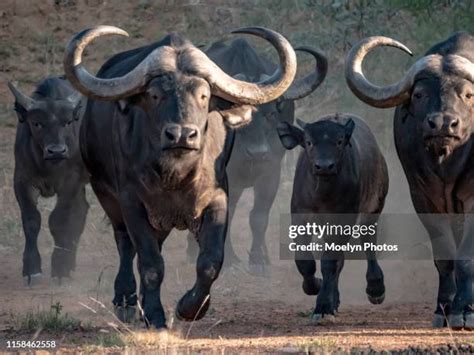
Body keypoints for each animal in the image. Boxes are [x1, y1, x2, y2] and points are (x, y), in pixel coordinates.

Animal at [7, 76, 88, 286]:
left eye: (67, 122)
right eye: (36, 123)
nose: (56, 151)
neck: (48, 165)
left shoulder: (71, 182)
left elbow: (59, 220)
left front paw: (59, 266)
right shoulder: (22, 182)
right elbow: (31, 220)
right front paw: (32, 268)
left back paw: (68, 261)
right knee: (82, 209)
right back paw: (71, 260)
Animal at [63, 26, 296, 330]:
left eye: (204, 95)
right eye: (154, 95)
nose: (182, 135)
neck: (177, 174)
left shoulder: (218, 197)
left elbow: (210, 261)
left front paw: (190, 307)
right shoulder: (131, 202)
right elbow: (150, 264)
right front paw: (154, 315)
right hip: (107, 195)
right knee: (126, 246)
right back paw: (126, 301)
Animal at [186, 39, 330, 278]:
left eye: (271, 113)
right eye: (240, 116)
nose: (258, 152)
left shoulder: (271, 173)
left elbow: (259, 217)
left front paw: (258, 260)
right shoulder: (228, 178)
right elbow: (227, 214)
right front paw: (230, 260)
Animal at [344, 32, 474, 330]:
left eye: (468, 94)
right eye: (419, 94)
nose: (442, 124)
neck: (446, 164)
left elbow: (466, 256)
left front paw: (465, 311)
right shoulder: (423, 198)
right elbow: (445, 256)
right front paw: (444, 309)